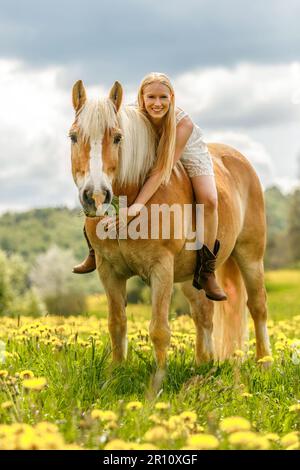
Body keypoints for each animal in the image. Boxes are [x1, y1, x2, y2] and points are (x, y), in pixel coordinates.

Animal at [69, 79, 270, 374]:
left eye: (117, 138)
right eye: (73, 137)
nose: (95, 195)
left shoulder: (161, 269)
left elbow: (159, 330)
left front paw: (159, 378)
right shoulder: (109, 271)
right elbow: (116, 323)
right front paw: (116, 373)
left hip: (250, 256)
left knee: (257, 306)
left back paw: (264, 362)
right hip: (192, 277)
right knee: (203, 313)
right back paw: (204, 365)